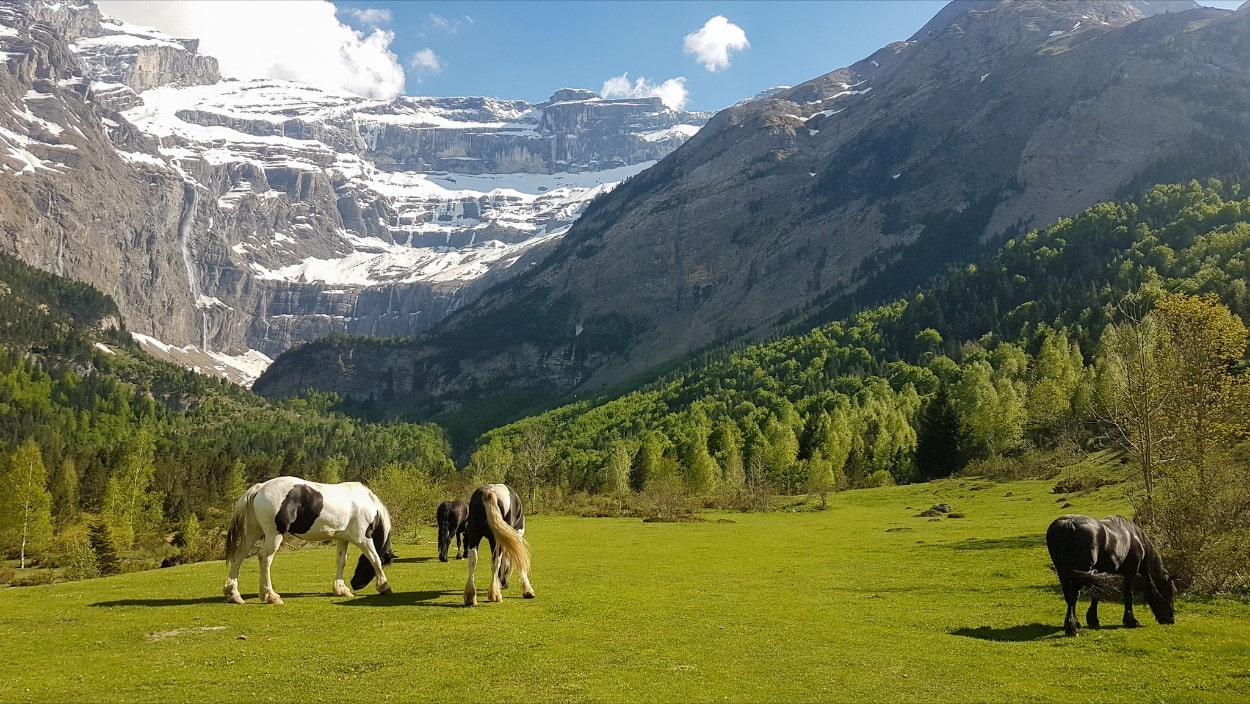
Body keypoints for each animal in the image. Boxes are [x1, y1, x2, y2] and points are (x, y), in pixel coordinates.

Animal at [223, 477, 395, 602]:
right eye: (384, 563)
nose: (355, 584)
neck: (366, 503)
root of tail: (260, 487)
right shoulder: (363, 539)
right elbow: (374, 558)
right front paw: (384, 586)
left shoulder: (342, 539)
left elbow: (341, 562)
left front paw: (341, 589)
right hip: (273, 535)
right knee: (264, 558)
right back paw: (271, 596)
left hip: (252, 532)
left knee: (238, 557)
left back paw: (234, 594)